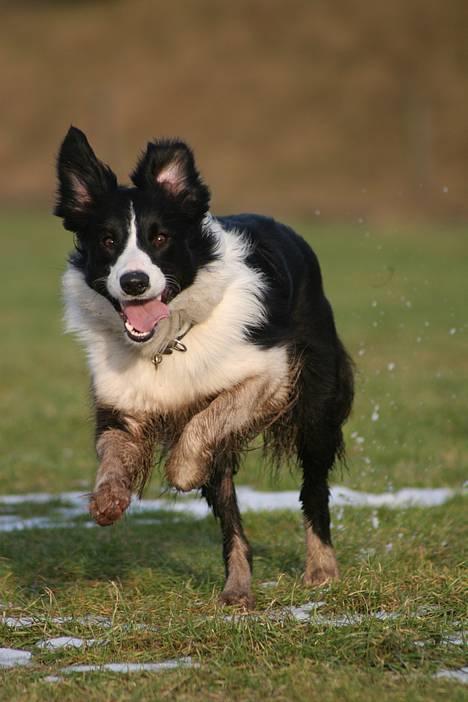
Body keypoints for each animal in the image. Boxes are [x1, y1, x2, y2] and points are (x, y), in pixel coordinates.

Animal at [54, 128, 352, 612]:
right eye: (107, 241)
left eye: (160, 238)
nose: (134, 282)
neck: (167, 340)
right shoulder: (121, 398)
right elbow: (112, 450)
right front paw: (108, 500)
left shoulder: (271, 372)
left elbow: (203, 427)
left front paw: (182, 471)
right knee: (231, 521)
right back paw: (237, 589)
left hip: (317, 401)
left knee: (313, 487)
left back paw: (322, 570)